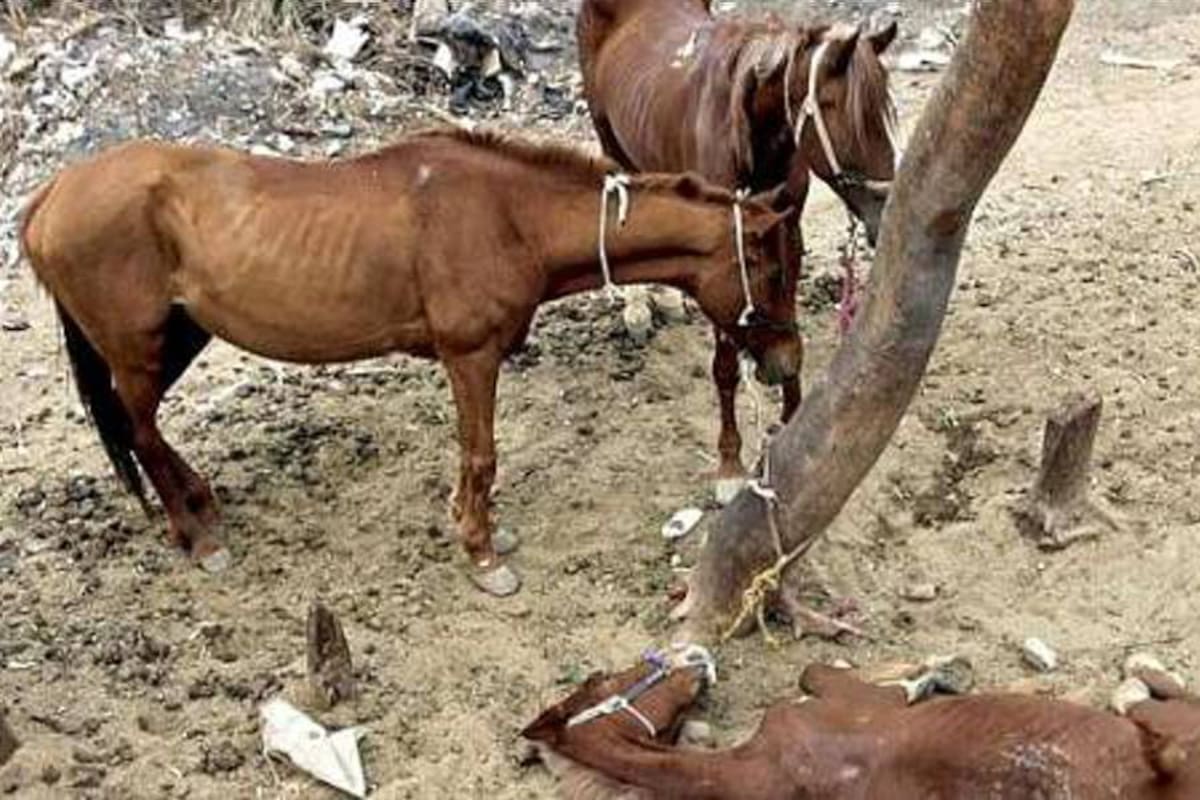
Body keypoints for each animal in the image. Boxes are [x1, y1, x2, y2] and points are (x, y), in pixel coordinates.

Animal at [19, 127, 804, 597]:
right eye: (770, 271)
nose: (788, 363)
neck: (508, 216)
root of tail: (50, 195)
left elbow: (470, 457)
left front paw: (474, 525)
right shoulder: (470, 355)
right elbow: (481, 454)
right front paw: (482, 552)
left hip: (177, 339)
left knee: (141, 428)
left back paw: (199, 503)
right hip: (139, 348)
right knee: (139, 430)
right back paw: (197, 535)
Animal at [577, 0, 899, 504]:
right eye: (843, 111)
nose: (885, 213)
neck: (749, 135)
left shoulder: (786, 231)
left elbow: (789, 333)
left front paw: (791, 426)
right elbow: (726, 366)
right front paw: (729, 465)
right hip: (608, 135)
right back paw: (638, 306)